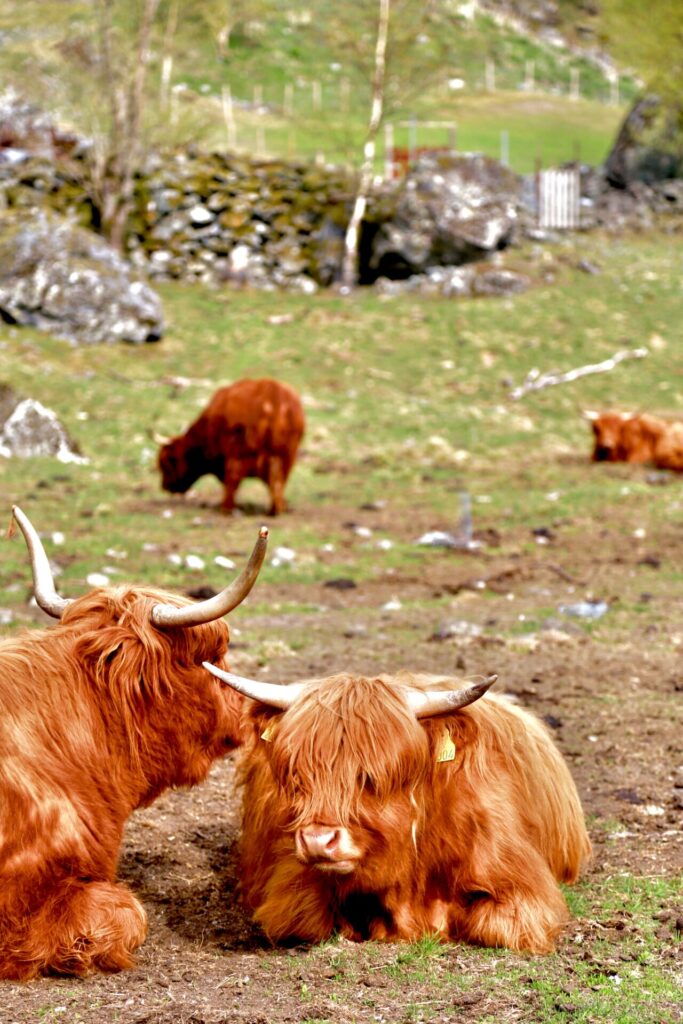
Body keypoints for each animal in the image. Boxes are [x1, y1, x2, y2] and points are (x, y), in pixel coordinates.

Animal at [157, 378, 305, 516]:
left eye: (165, 464)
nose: (164, 486)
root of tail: (274, 395)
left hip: (241, 454)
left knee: (238, 479)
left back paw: (226, 508)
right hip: (286, 455)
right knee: (279, 482)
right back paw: (276, 509)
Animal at [202, 667, 593, 954]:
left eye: (371, 777)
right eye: (297, 774)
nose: (317, 840)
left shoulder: (522, 890)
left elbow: (490, 924)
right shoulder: (288, 886)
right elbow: (306, 918)